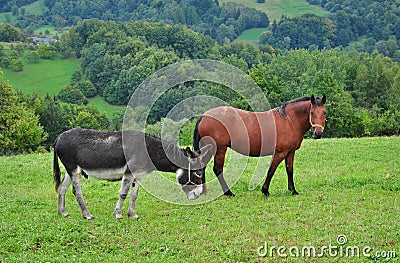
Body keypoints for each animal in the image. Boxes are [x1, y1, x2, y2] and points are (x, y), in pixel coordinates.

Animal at [192, 96, 326, 197]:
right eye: (312, 112)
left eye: (324, 112)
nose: (318, 133)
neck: (289, 120)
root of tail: (204, 116)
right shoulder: (280, 153)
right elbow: (271, 170)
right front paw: (265, 190)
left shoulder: (290, 152)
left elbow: (290, 170)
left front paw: (293, 190)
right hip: (219, 149)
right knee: (217, 169)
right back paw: (228, 192)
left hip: (209, 149)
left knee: (202, 166)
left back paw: (203, 192)